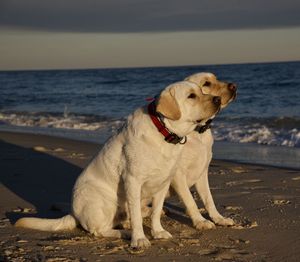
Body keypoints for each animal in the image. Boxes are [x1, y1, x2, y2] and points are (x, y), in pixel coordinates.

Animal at [15, 81, 220, 249]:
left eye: (203, 90)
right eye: (191, 96)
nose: (218, 99)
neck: (164, 132)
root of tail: (73, 213)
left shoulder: (163, 183)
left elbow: (155, 212)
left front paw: (158, 232)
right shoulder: (133, 181)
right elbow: (137, 216)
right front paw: (139, 239)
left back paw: (126, 226)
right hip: (99, 202)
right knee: (99, 230)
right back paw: (127, 232)